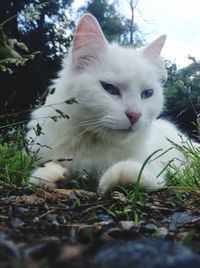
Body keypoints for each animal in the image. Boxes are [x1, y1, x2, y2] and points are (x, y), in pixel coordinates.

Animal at [27, 13, 186, 193]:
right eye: (109, 88)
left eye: (147, 93)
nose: (135, 115)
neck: (93, 144)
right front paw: (50, 175)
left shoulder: (155, 168)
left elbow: (142, 172)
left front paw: (122, 175)